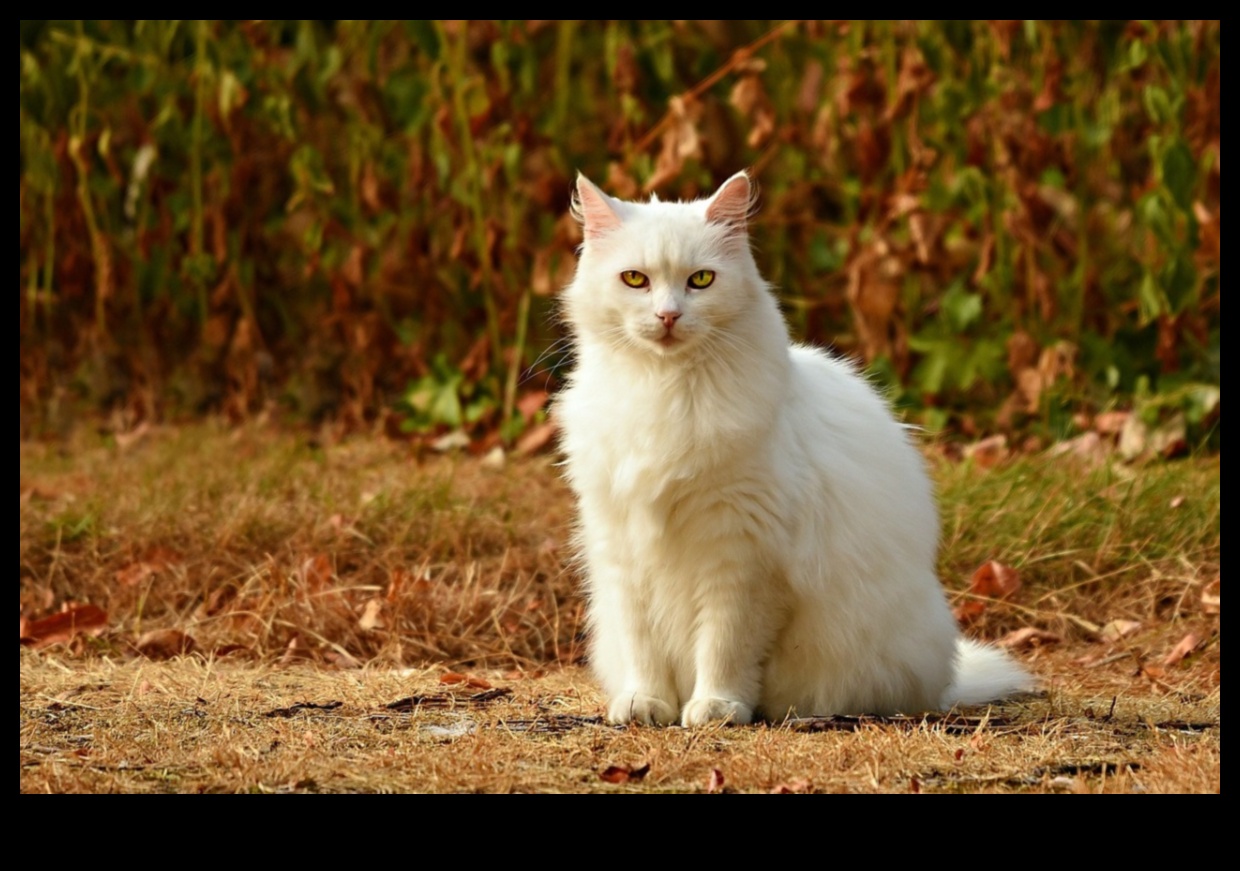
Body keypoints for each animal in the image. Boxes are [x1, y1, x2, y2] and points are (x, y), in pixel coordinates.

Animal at [558, 172, 1031, 729]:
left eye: (701, 281)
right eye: (635, 280)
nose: (668, 315)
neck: (662, 390)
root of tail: (944, 680)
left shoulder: (742, 556)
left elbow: (724, 644)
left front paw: (716, 707)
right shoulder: (623, 544)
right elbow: (642, 645)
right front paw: (645, 703)